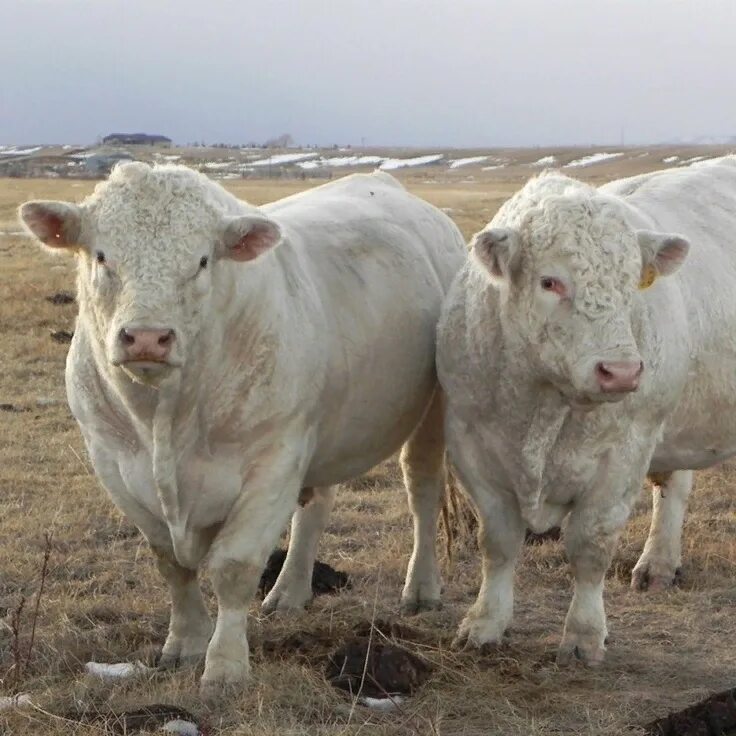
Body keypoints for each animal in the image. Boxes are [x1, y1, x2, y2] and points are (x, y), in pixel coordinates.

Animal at [20, 164, 462, 692]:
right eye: (102, 255)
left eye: (203, 260)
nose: (147, 337)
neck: (164, 419)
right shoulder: (113, 462)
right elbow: (170, 563)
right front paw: (185, 644)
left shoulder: (273, 461)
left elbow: (234, 567)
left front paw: (226, 667)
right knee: (316, 507)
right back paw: (290, 591)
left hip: (434, 408)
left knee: (423, 492)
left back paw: (422, 588)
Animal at [436, 155, 736, 668]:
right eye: (550, 281)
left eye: (631, 283)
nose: (621, 371)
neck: (543, 413)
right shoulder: (471, 446)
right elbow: (498, 542)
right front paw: (484, 623)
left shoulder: (625, 451)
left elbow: (590, 546)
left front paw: (583, 635)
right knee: (674, 487)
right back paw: (658, 564)